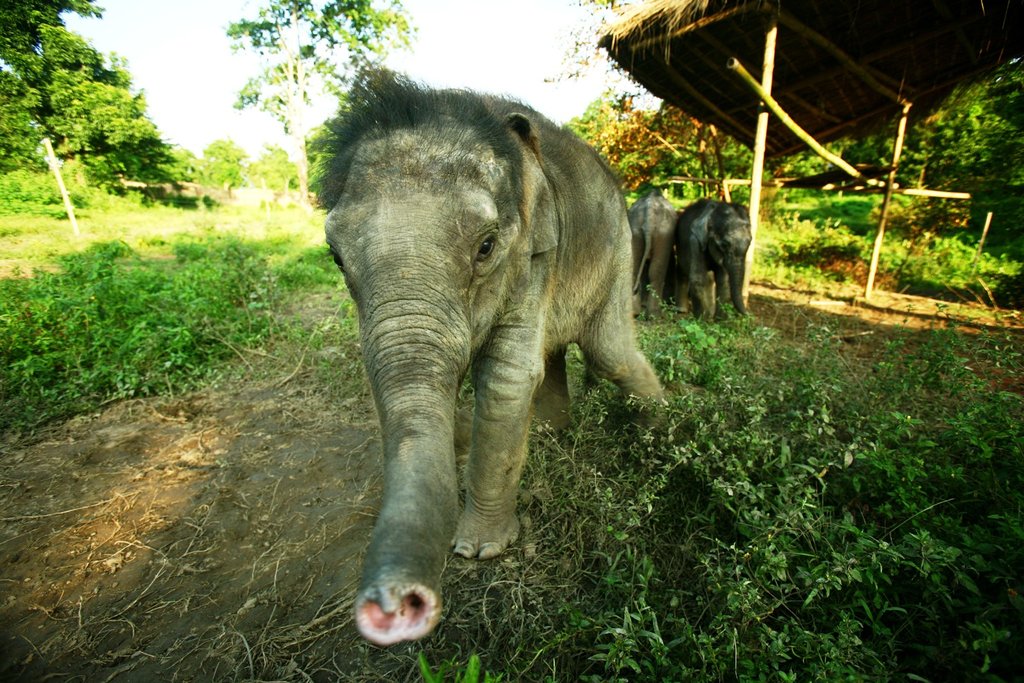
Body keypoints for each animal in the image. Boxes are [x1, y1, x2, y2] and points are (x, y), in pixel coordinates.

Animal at [315, 70, 664, 646]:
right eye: (336, 257)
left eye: (486, 246)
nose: (394, 604)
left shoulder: (536, 253)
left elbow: (505, 378)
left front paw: (480, 550)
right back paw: (550, 432)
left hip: (616, 248)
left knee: (610, 353)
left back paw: (663, 428)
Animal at [628, 189, 678, 317]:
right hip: (664, 233)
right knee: (656, 272)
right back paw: (654, 315)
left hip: (635, 231)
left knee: (634, 268)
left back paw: (635, 312)